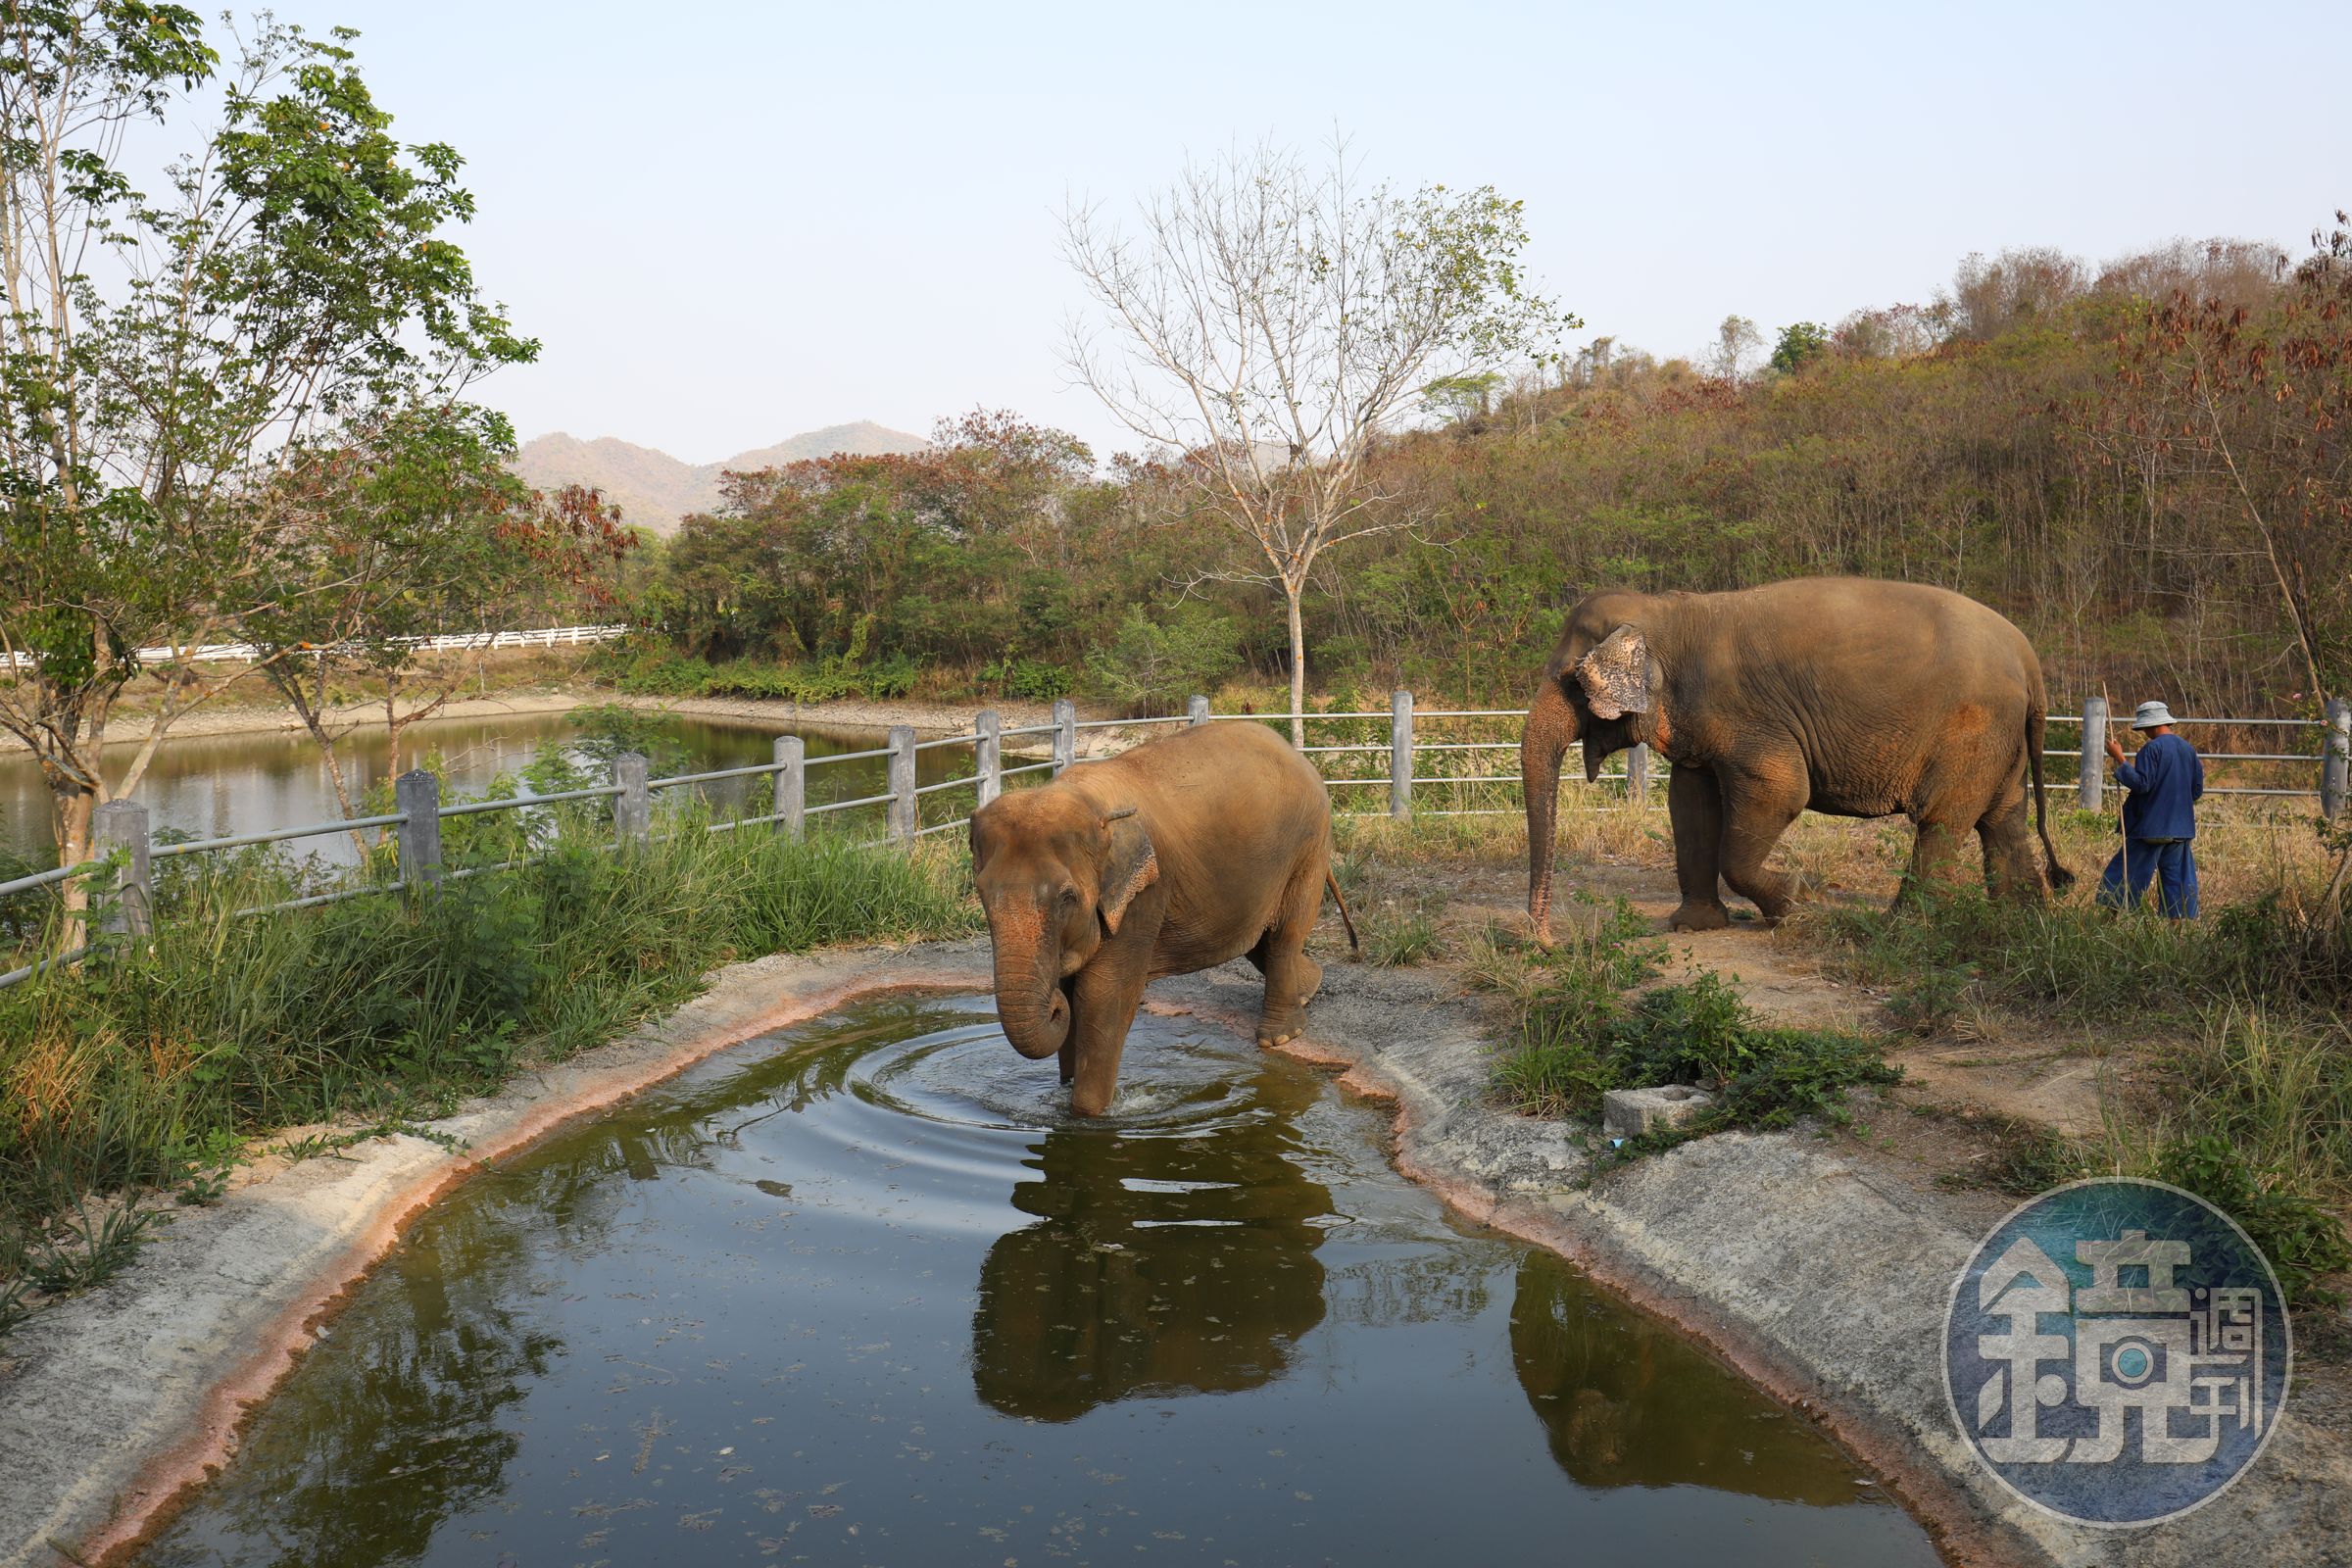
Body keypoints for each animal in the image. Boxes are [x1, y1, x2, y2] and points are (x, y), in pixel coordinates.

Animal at [970, 722, 1358, 1115]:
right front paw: (1064, 1093)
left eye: (1068, 898)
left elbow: (1102, 997)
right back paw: (1309, 990)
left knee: (1283, 934)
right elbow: (1072, 990)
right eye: (982, 894)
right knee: (1257, 939)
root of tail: (1294, 752)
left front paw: (1088, 1115)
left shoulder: (1144, 895)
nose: (1052, 1007)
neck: (1086, 800)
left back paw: (1279, 1037)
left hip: (1308, 843)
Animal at [1520, 577, 2073, 941]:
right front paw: (1693, 927)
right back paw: (2023, 921)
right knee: (2003, 819)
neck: (1668, 613)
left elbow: (1781, 791)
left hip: (1973, 729)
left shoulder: (1749, 716)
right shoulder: (1700, 722)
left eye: (1571, 681)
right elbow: (1690, 803)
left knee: (1941, 820)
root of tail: (2028, 656)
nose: (1549, 942)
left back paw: (1903, 927)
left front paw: (1803, 901)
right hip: (2004, 738)